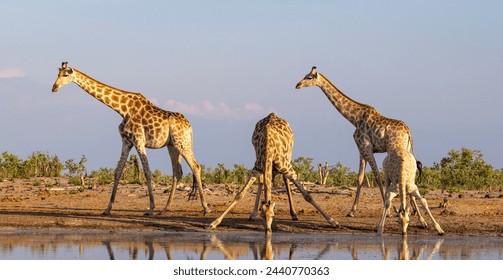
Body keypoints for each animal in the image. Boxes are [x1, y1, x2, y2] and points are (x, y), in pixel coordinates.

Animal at [50, 61, 209, 217]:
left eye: (65, 75)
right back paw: (165, 209)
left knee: (196, 166)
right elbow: (118, 171)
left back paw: (205, 208)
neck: (122, 109)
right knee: (177, 172)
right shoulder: (126, 142)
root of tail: (190, 127)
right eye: (57, 74)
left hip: (182, 143)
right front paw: (107, 209)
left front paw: (150, 208)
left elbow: (147, 172)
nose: (54, 87)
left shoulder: (139, 140)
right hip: (172, 146)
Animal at [207, 112, 340, 235]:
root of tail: (273, 114)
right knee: (263, 181)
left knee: (285, 179)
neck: (268, 148)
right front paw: (214, 223)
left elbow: (307, 195)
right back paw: (253, 214)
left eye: (273, 215)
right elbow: (240, 194)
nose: (268, 230)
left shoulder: (287, 167)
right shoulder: (257, 167)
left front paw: (333, 222)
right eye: (262, 216)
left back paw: (294, 214)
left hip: (288, 156)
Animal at [296, 66, 422, 218]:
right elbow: (360, 178)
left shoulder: (366, 147)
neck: (354, 118)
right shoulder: (361, 150)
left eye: (309, 77)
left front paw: (389, 211)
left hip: (395, 149)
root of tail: (408, 131)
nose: (297, 85)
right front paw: (351, 211)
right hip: (406, 149)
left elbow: (377, 177)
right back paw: (415, 212)